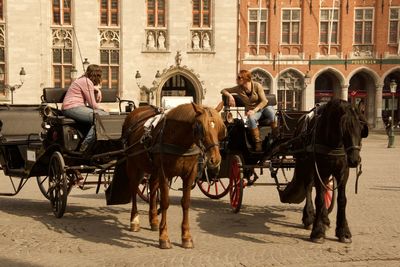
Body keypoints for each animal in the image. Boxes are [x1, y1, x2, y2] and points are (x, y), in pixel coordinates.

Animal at [122, 102, 225, 249]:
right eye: (200, 127)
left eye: (220, 127)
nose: (215, 159)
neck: (180, 141)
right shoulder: (164, 173)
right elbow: (165, 202)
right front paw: (164, 237)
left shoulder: (189, 174)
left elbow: (186, 203)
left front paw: (186, 237)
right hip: (133, 164)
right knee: (134, 188)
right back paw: (134, 221)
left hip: (153, 169)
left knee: (152, 188)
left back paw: (154, 220)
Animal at [288, 99, 368, 244]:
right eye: (343, 128)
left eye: (361, 128)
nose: (354, 160)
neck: (333, 143)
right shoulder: (319, 169)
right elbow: (319, 198)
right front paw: (318, 231)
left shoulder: (343, 172)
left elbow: (342, 199)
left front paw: (343, 231)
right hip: (305, 165)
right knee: (308, 188)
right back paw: (309, 217)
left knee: (324, 188)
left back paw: (324, 218)